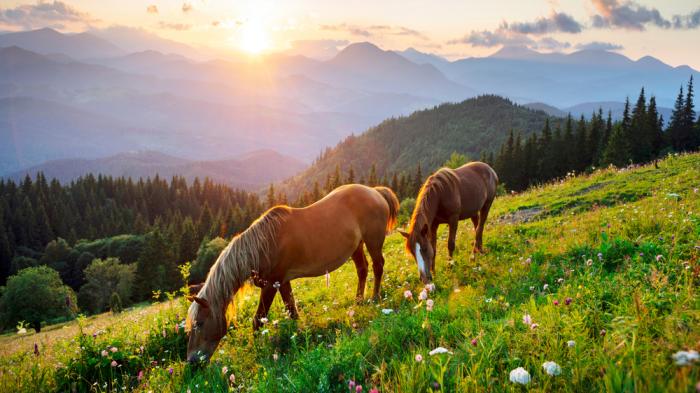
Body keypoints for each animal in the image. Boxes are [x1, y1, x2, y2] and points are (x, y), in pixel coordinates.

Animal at [185, 183, 400, 362]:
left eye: (199, 323)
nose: (192, 362)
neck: (264, 245)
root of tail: (375, 191)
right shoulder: (283, 282)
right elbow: (292, 310)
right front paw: (299, 334)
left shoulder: (271, 285)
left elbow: (257, 320)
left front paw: (256, 349)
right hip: (357, 246)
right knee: (362, 269)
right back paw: (358, 300)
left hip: (373, 241)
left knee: (378, 266)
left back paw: (374, 297)